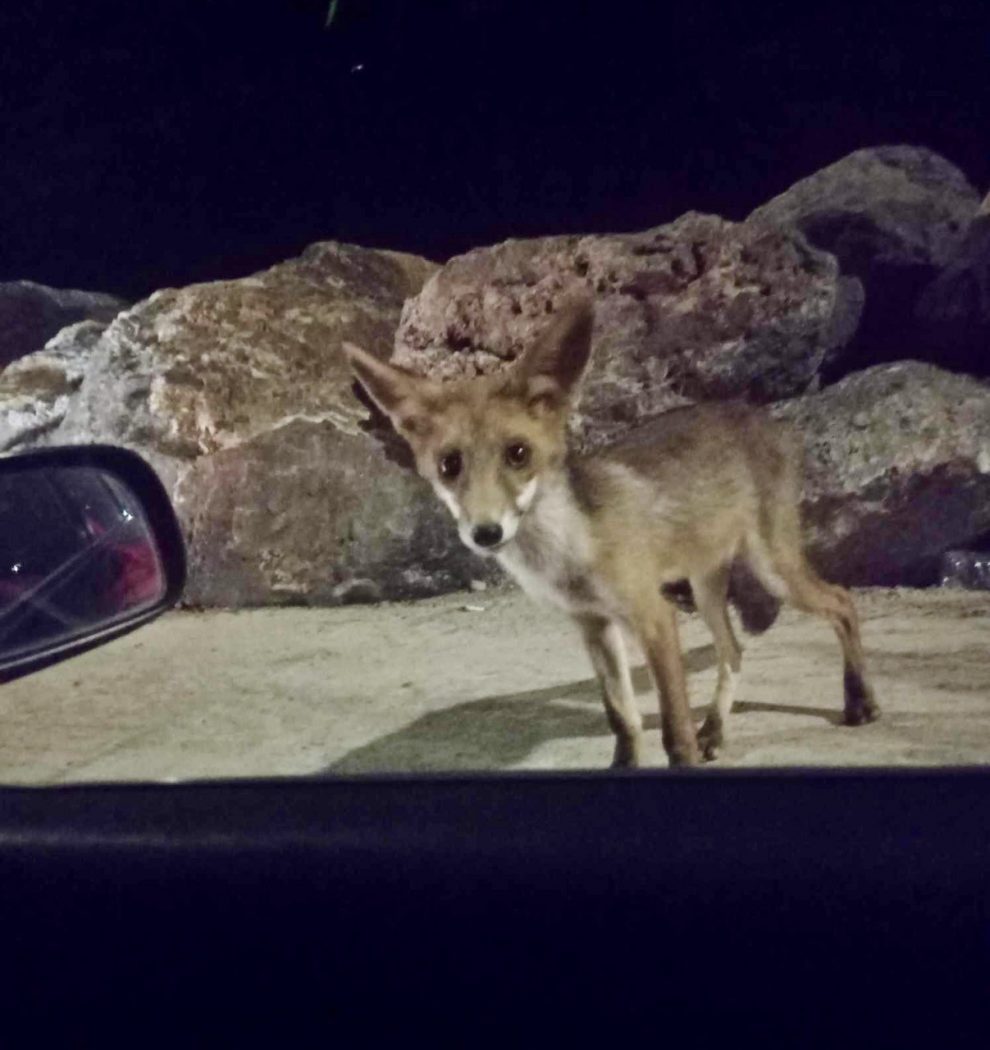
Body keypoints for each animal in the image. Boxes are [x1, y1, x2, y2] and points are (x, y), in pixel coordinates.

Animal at [342, 300, 881, 768]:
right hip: (706, 587)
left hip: (773, 570)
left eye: (518, 454)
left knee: (841, 603)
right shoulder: (593, 626)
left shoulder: (654, 616)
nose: (487, 532)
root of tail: (764, 416)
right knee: (734, 650)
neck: (568, 553)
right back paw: (715, 730)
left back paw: (860, 702)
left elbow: (672, 731)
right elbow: (622, 718)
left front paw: (685, 750)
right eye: (449, 465)